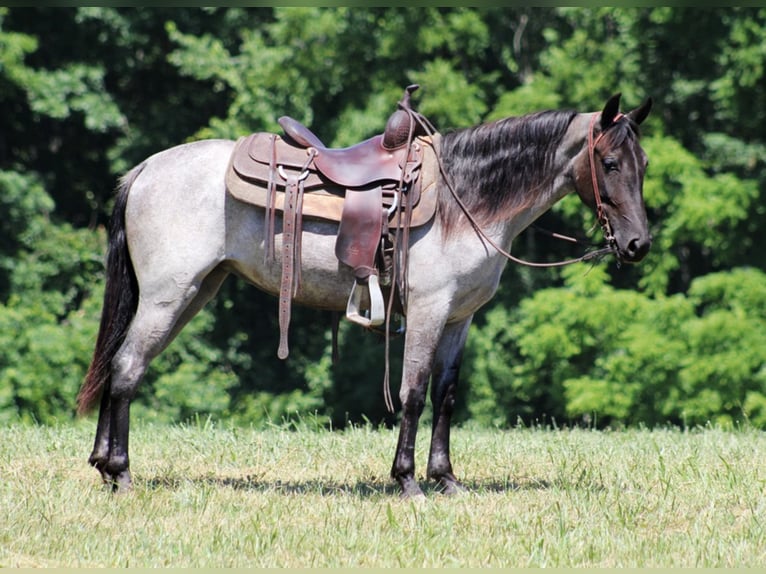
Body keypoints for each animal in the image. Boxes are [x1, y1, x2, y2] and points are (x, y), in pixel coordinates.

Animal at [76, 93, 656, 500]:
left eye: (644, 164)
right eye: (609, 164)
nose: (638, 244)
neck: (464, 201)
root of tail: (146, 169)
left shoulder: (459, 319)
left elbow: (446, 395)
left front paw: (447, 479)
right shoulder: (428, 311)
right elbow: (414, 393)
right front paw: (408, 481)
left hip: (193, 292)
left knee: (120, 364)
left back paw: (103, 466)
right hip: (168, 297)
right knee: (126, 368)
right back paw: (121, 474)